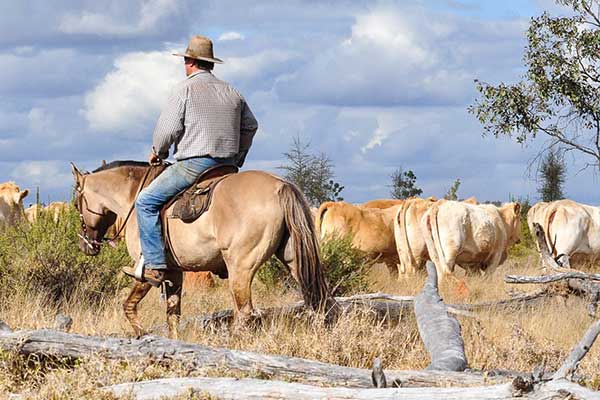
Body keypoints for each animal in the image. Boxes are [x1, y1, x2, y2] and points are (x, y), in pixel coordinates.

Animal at [74, 159, 332, 338]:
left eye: (77, 203)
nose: (85, 245)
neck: (134, 197)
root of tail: (280, 186)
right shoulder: (174, 273)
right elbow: (173, 314)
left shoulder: (146, 269)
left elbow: (129, 305)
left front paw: (142, 334)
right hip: (293, 260)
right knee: (316, 300)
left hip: (241, 268)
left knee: (245, 312)